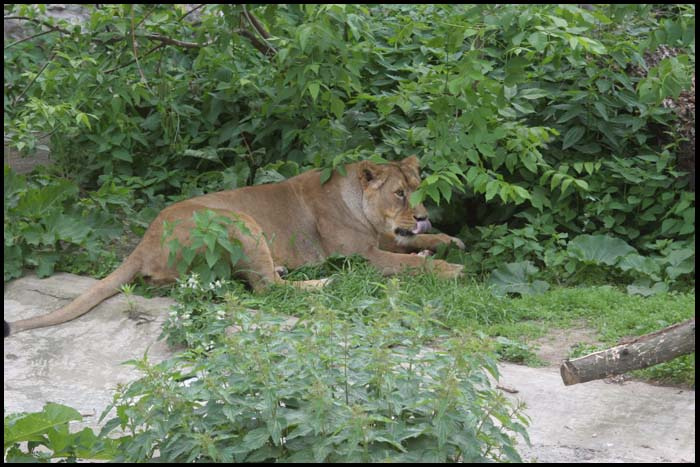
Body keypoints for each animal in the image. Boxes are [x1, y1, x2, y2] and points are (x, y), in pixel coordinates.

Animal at [6, 156, 464, 335]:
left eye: (420, 190)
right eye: (399, 194)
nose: (422, 214)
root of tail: (146, 239)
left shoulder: (384, 239)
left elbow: (416, 244)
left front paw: (447, 240)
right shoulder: (360, 257)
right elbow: (410, 264)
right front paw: (448, 267)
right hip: (241, 222)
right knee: (265, 288)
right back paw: (318, 284)